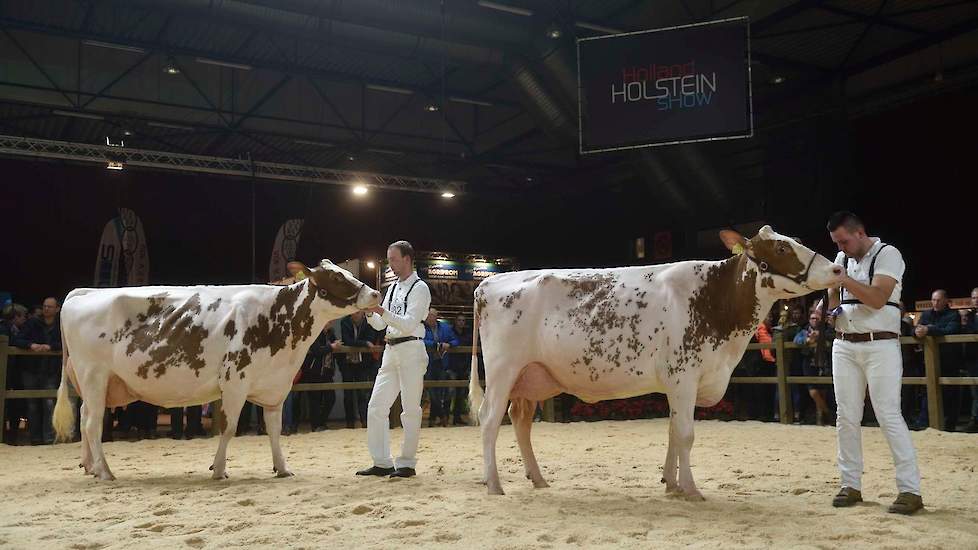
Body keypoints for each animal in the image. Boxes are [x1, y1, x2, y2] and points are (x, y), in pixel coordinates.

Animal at [51, 260, 382, 480]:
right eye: (337, 278)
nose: (376, 294)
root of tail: (83, 293)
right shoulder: (235, 381)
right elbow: (229, 427)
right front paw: (219, 469)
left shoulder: (274, 387)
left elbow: (274, 429)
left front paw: (282, 468)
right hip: (94, 375)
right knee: (92, 424)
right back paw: (106, 472)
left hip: (96, 383)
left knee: (84, 418)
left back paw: (90, 467)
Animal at [468, 226, 844, 498]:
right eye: (780, 249)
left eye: (795, 241)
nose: (837, 268)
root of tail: (490, 281)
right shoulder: (684, 376)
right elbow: (686, 434)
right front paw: (691, 489)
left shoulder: (679, 382)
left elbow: (673, 432)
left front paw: (672, 483)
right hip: (502, 370)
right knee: (490, 419)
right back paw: (494, 485)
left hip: (529, 377)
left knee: (520, 421)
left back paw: (538, 479)